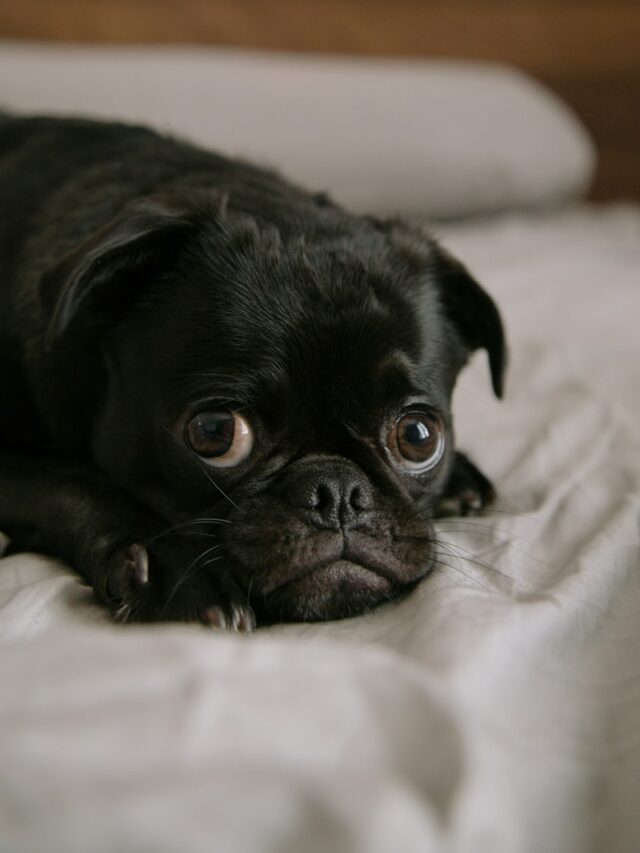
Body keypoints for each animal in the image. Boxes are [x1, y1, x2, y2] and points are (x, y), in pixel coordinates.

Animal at [0, 113, 504, 628]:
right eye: (215, 433)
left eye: (418, 436)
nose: (337, 492)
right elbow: (70, 481)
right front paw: (170, 567)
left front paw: (461, 477)